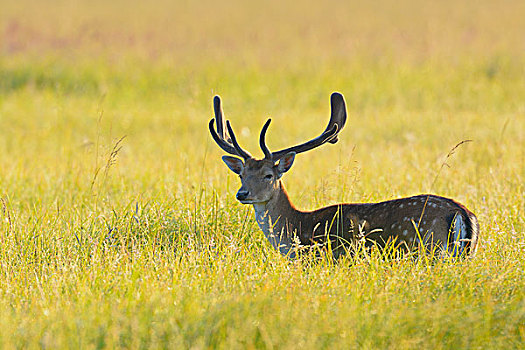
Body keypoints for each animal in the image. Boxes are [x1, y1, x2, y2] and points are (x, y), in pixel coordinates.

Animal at [207, 92, 476, 258]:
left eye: (268, 175)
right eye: (241, 174)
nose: (242, 194)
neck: (297, 230)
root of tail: (462, 213)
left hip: (430, 247)